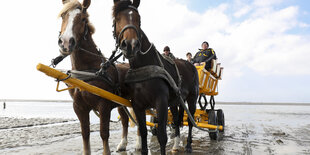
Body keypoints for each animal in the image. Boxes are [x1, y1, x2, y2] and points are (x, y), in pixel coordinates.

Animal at [57, 0, 130, 154]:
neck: (87, 72)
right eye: (63, 16)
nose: (65, 42)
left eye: (83, 19)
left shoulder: (104, 105)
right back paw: (123, 144)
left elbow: (104, 133)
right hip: (122, 103)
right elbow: (85, 133)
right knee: (125, 119)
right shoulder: (79, 107)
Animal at [112, 0, 199, 154]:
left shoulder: (161, 102)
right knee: (177, 120)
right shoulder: (137, 105)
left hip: (192, 97)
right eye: (117, 18)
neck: (145, 65)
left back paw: (188, 145)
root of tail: (189, 64)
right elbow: (143, 132)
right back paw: (176, 145)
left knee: (190, 121)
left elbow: (162, 136)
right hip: (176, 101)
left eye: (139, 19)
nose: (130, 45)